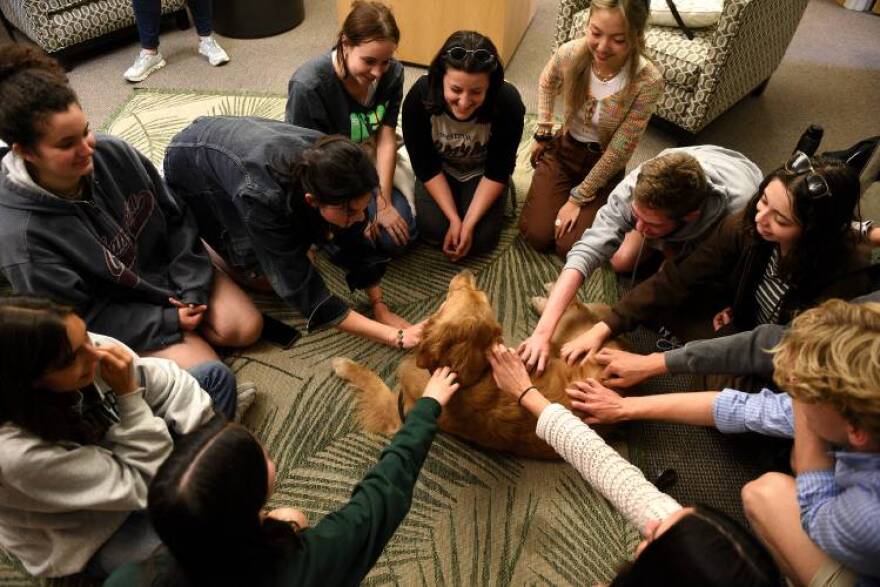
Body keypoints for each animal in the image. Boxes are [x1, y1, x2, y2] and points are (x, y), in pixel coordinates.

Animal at [332, 272, 624, 460]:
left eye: (467, 291)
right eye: (478, 293)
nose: (467, 271)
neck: (463, 374)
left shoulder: (396, 410)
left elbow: (369, 377)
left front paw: (343, 364)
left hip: (562, 336)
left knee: (573, 306)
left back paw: (546, 295)